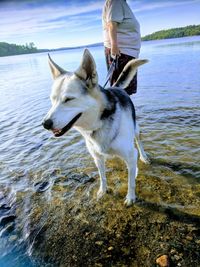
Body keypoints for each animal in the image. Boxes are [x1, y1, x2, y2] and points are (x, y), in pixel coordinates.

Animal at [42, 48, 148, 207]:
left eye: (68, 99)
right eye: (52, 100)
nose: (45, 124)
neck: (98, 123)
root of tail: (115, 87)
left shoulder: (129, 154)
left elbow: (130, 183)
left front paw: (130, 197)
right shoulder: (97, 157)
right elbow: (102, 176)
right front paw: (102, 191)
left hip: (135, 130)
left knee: (138, 142)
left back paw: (143, 157)